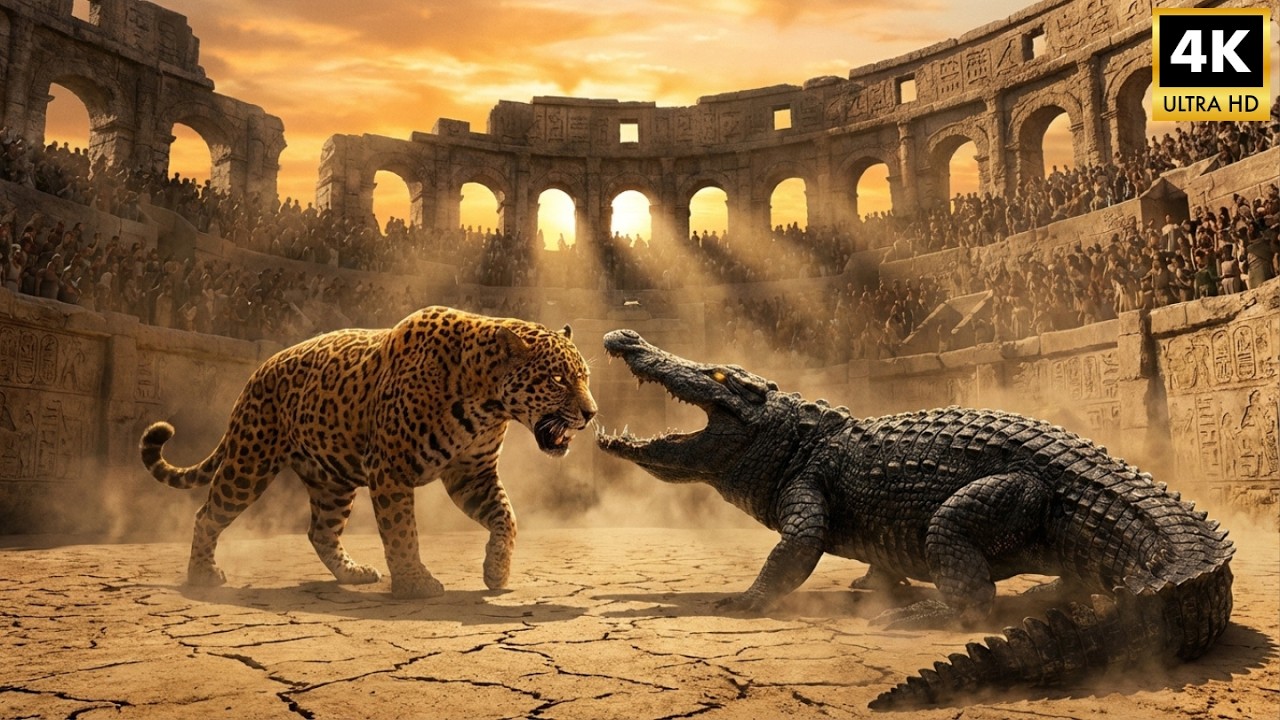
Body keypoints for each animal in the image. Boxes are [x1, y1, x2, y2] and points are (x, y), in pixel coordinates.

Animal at [139, 306, 597, 599]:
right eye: (557, 379)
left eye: (585, 377)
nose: (591, 413)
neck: (486, 400)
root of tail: (258, 371)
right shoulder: (391, 469)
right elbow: (402, 531)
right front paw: (415, 583)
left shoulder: (472, 474)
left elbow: (507, 517)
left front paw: (496, 571)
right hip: (249, 461)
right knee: (207, 514)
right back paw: (202, 576)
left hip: (332, 482)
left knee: (320, 531)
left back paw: (353, 574)